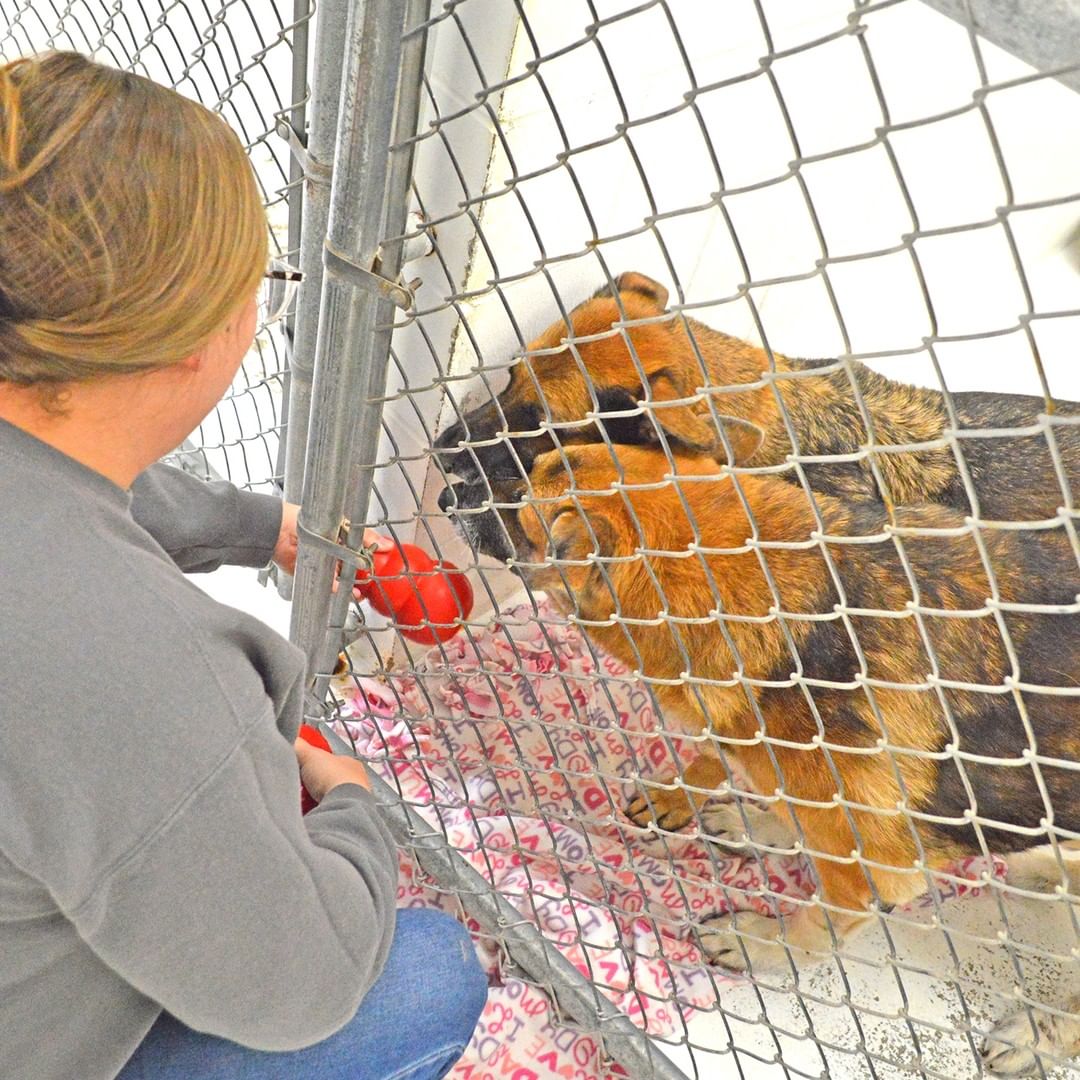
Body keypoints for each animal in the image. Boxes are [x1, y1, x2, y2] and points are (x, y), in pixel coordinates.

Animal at [440, 432, 1080, 1071]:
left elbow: (813, 930)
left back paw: (1033, 1037)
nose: (446, 493)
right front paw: (752, 821)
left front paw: (756, 944)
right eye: (534, 465)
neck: (795, 613)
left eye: (519, 503)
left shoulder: (871, 876)